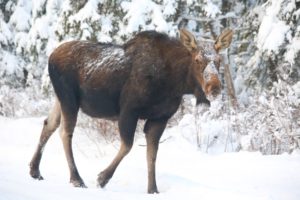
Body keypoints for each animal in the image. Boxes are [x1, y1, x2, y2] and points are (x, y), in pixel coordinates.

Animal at [29, 28, 233, 193]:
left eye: (219, 60)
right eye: (198, 60)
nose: (214, 88)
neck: (176, 83)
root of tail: (51, 55)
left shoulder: (160, 118)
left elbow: (152, 154)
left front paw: (153, 189)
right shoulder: (129, 111)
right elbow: (128, 145)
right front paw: (102, 178)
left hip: (60, 98)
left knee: (49, 124)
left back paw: (35, 170)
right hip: (69, 98)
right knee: (65, 132)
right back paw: (76, 179)